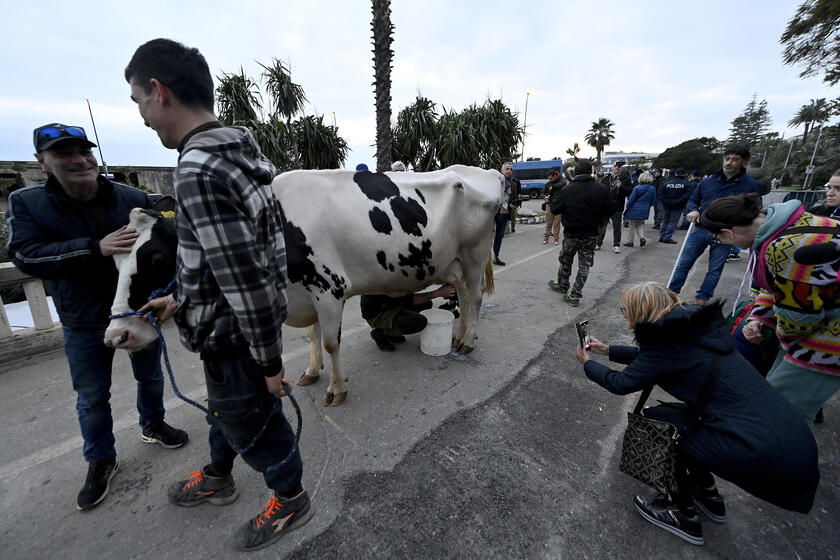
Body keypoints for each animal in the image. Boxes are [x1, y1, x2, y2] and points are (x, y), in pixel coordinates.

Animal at [102, 166, 502, 406]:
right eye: (114, 260)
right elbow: (312, 336)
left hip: (474, 254)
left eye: (156, 257)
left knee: (475, 297)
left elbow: (330, 342)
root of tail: (481, 170)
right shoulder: (303, 293)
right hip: (452, 262)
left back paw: (467, 341)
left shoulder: (329, 289)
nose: (117, 335)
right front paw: (311, 372)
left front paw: (337, 390)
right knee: (461, 296)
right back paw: (457, 336)